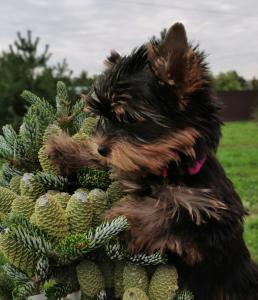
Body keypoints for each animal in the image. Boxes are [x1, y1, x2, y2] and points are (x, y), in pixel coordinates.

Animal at [47, 22, 258, 298]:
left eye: (129, 118)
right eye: (105, 118)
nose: (102, 148)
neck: (170, 169)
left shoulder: (214, 223)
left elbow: (169, 213)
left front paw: (123, 214)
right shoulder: (133, 164)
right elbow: (113, 166)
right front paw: (66, 150)